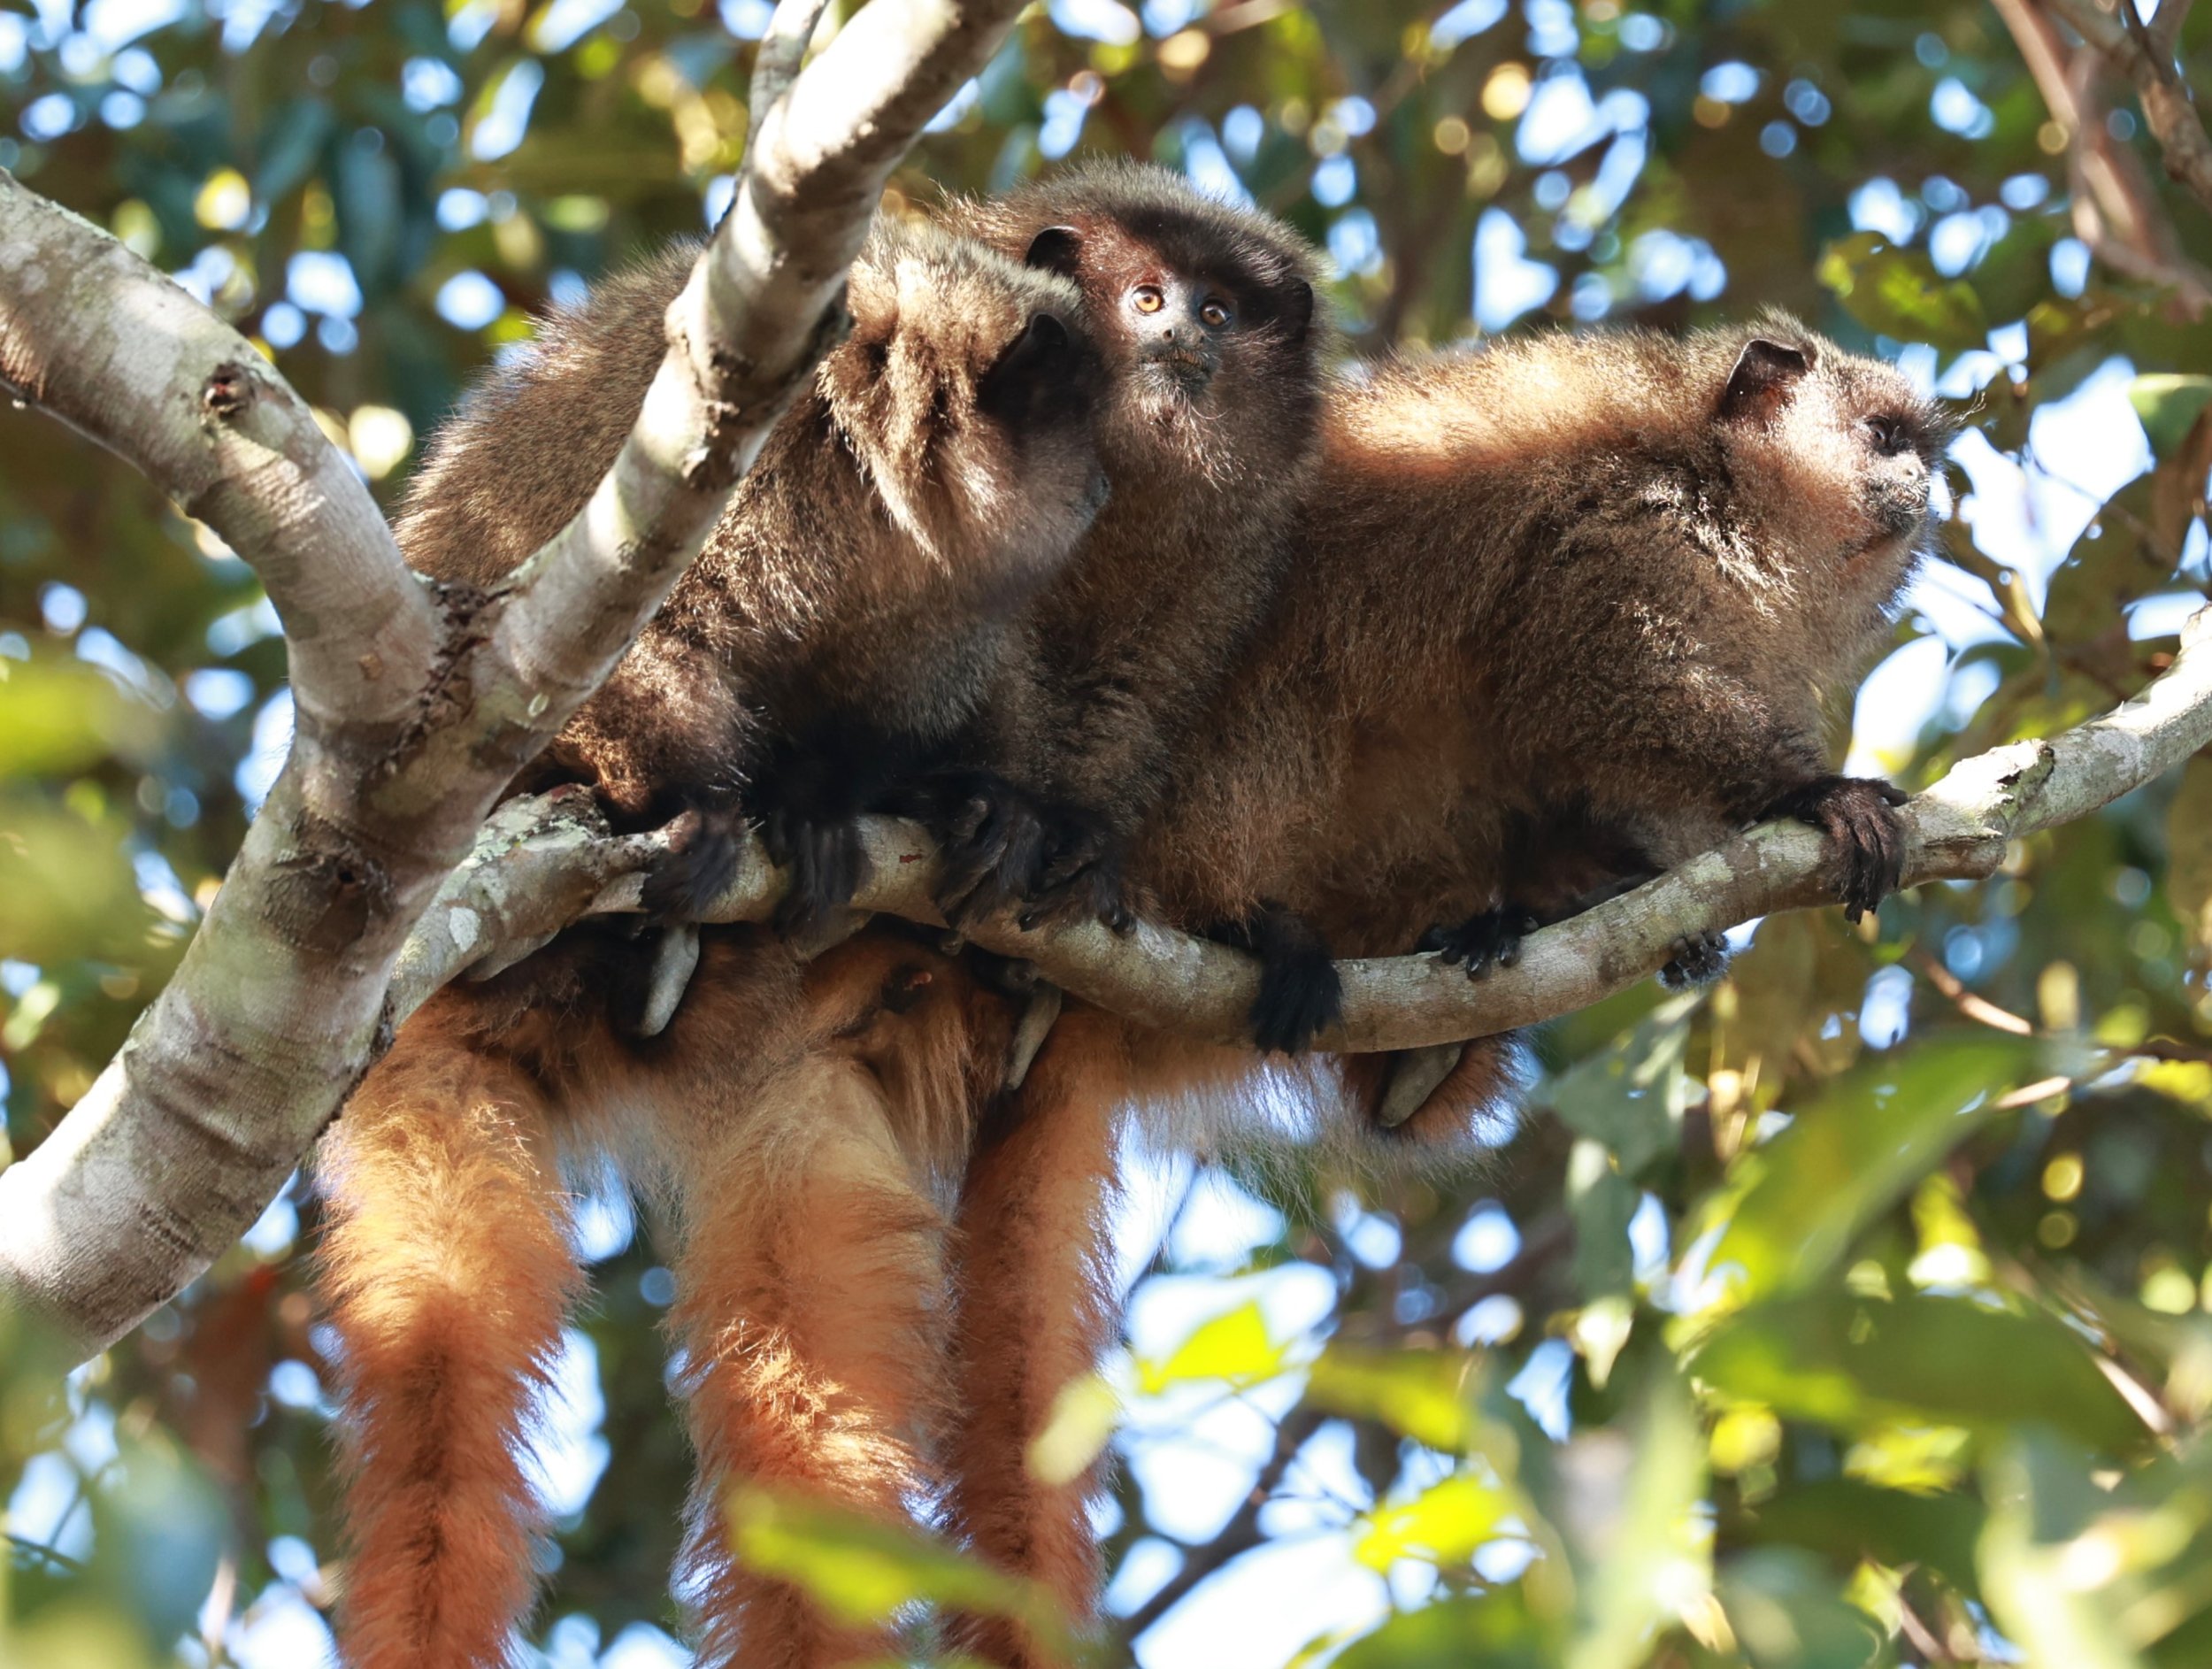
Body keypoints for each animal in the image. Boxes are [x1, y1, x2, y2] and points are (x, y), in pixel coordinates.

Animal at [314, 217, 1102, 1669]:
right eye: (1075, 439)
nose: (1100, 499)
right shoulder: (734, 478)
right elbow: (632, 644)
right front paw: (695, 804)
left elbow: (898, 705)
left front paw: (914, 807)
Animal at [929, 316, 1949, 1665]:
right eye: (1883, 438)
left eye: (1922, 448)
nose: (1926, 486)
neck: (1723, 490)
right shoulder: (1622, 541)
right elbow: (1609, 694)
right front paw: (1809, 796)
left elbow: (1574, 753)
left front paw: (1648, 895)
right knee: (1294, 684)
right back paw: (1244, 920)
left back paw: (1467, 976)